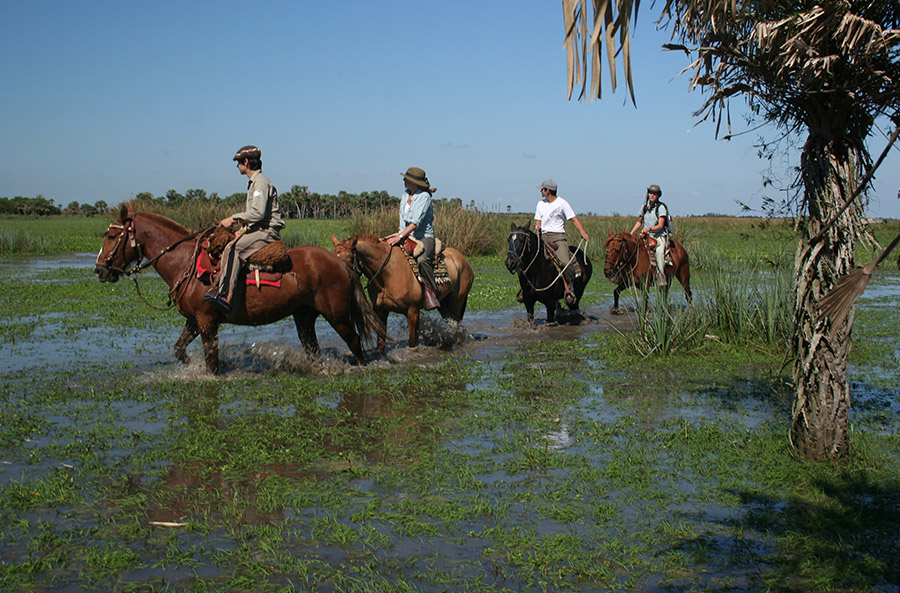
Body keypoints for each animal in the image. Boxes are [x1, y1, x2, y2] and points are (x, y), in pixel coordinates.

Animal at [94, 206, 380, 372]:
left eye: (112, 236)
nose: (99, 270)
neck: (186, 262)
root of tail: (340, 262)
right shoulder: (194, 320)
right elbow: (179, 350)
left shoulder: (207, 322)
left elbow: (211, 363)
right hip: (304, 315)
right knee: (313, 349)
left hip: (337, 315)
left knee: (355, 342)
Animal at [326, 232, 474, 352]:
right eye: (333, 256)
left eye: (349, 258)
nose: (338, 281)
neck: (387, 273)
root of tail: (463, 260)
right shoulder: (381, 311)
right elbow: (380, 343)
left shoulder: (413, 311)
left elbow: (413, 343)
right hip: (444, 304)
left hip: (456, 301)